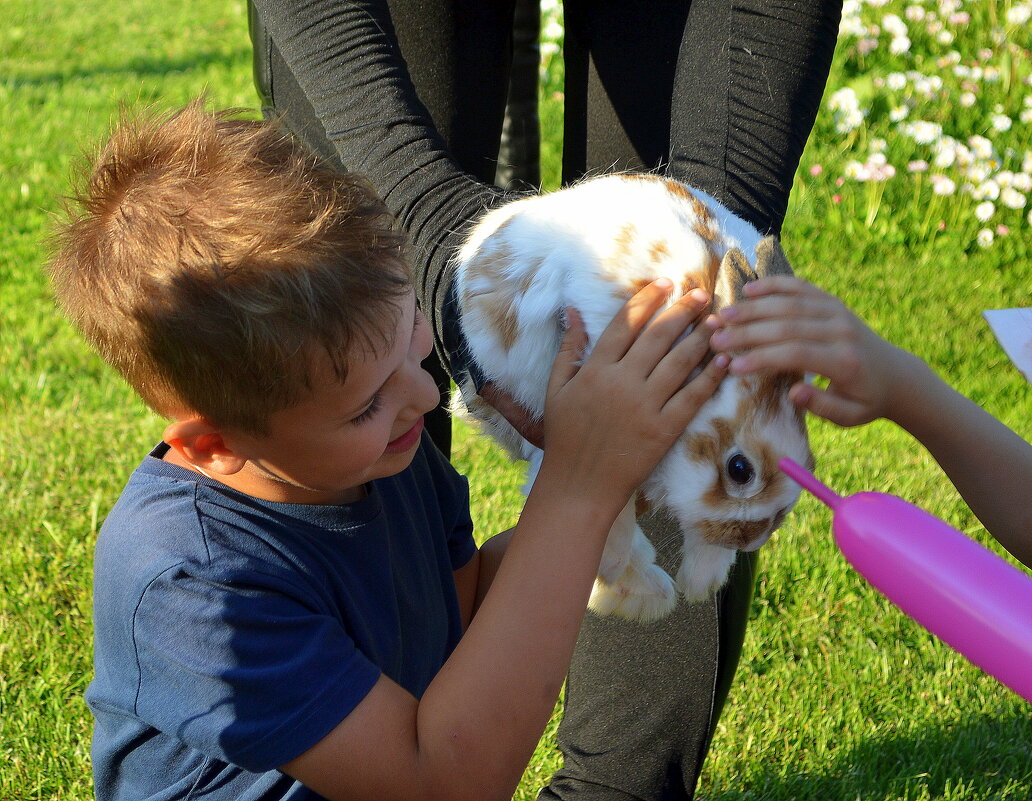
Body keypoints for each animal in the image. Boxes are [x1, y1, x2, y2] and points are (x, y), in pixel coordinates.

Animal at [454, 173, 813, 627]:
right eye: (739, 469)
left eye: (808, 463)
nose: (750, 541)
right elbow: (609, 508)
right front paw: (619, 575)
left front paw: (700, 583)